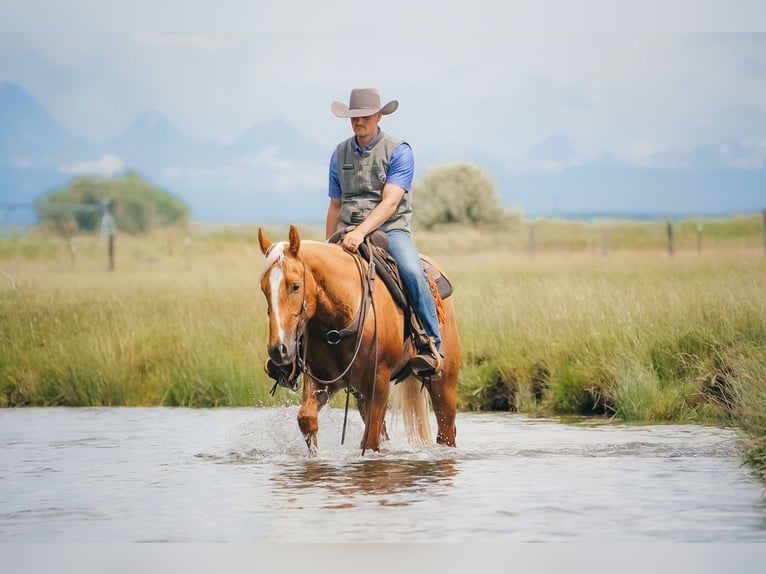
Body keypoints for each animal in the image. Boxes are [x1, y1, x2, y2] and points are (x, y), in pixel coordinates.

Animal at [257, 224, 460, 454]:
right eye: (264, 288)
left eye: (295, 286)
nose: (279, 350)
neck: (336, 323)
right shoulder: (322, 378)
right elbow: (306, 418)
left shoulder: (378, 382)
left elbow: (369, 442)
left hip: (444, 383)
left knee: (446, 430)